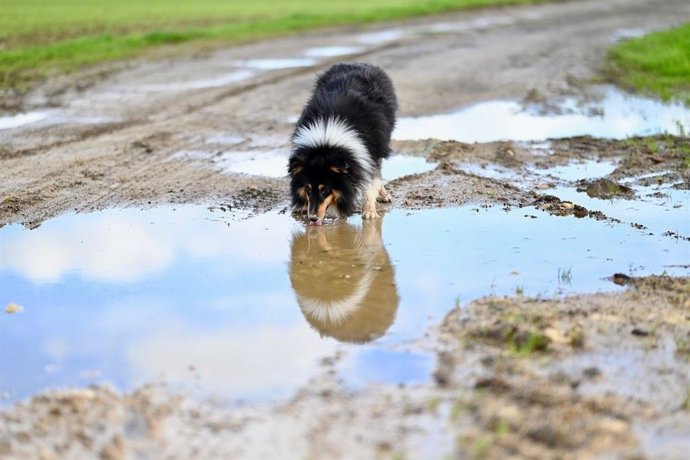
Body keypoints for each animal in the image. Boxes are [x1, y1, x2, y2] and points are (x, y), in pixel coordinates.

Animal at [286, 62, 396, 225]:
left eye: (325, 190)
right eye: (308, 189)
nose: (312, 219)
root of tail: (358, 63)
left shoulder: (370, 151)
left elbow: (370, 182)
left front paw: (369, 212)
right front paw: (301, 206)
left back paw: (383, 195)